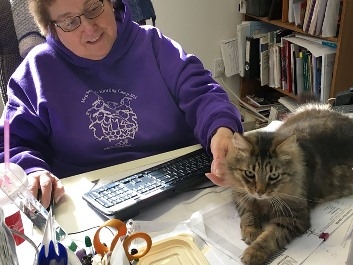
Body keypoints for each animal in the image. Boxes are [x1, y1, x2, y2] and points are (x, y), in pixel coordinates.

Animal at [223, 102, 352, 264]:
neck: (263, 202)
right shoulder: (240, 195)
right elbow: (248, 213)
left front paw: (253, 252)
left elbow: (271, 236)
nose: (260, 192)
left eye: (273, 176)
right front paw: (252, 232)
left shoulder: (293, 217)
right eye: (250, 174)